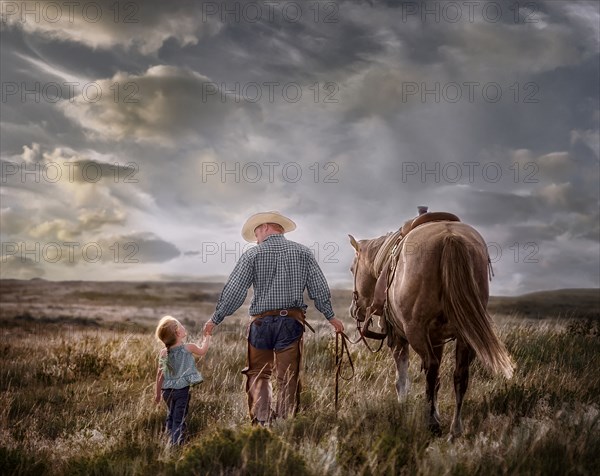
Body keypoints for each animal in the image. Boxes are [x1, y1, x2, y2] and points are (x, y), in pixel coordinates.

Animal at [350, 212, 512, 438]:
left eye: (352, 269)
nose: (354, 310)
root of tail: (450, 238)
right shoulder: (437, 339)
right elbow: (437, 384)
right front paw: (436, 413)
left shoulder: (400, 338)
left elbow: (402, 379)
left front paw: (404, 408)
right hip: (465, 336)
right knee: (460, 375)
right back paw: (455, 428)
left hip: (416, 331)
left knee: (431, 369)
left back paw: (432, 425)